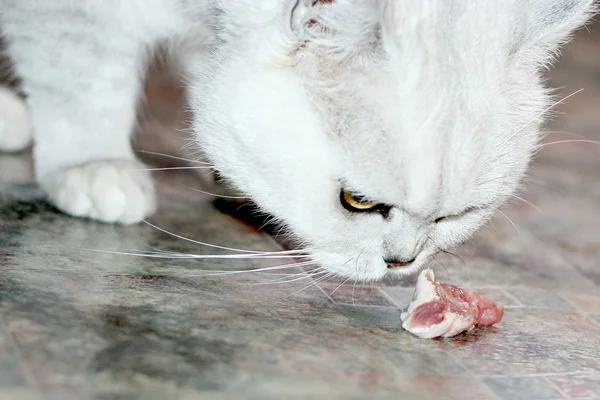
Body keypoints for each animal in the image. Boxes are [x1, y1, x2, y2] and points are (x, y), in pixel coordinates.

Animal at [0, 0, 592, 282]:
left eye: (456, 216)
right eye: (357, 201)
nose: (400, 265)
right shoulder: (76, 16)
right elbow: (84, 74)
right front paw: (91, 161)